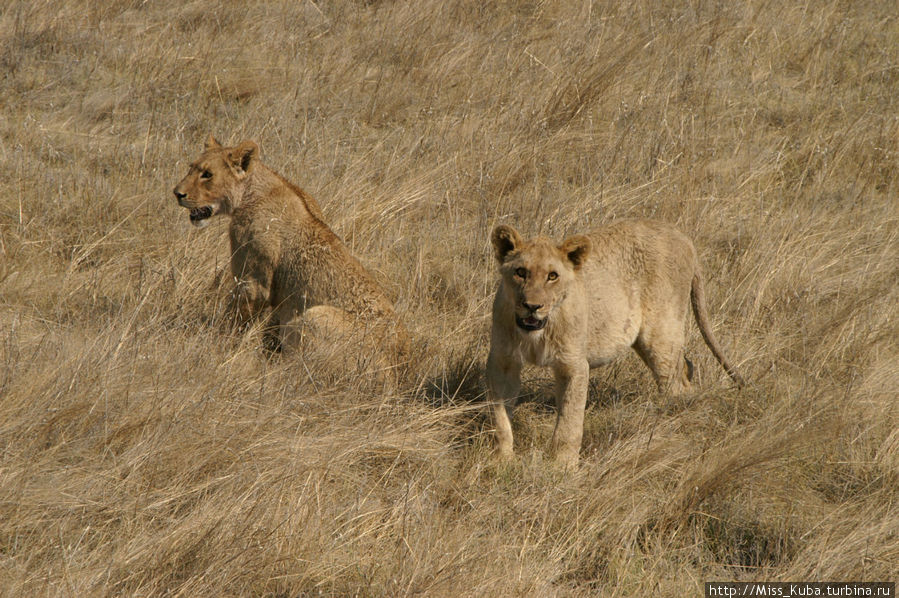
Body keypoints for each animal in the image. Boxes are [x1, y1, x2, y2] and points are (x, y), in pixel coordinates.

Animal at [171, 136, 408, 380]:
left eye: (207, 174)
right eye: (191, 168)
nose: (177, 193)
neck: (252, 192)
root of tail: (398, 371)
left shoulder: (252, 281)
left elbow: (234, 322)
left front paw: (218, 347)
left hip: (314, 315)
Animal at [486, 220, 744, 468]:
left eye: (552, 276)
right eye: (521, 272)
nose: (532, 306)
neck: (536, 333)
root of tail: (682, 236)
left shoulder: (574, 365)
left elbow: (569, 419)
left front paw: (562, 466)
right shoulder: (502, 362)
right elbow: (499, 418)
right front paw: (501, 460)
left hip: (661, 337)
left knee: (677, 386)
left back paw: (671, 427)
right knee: (684, 369)